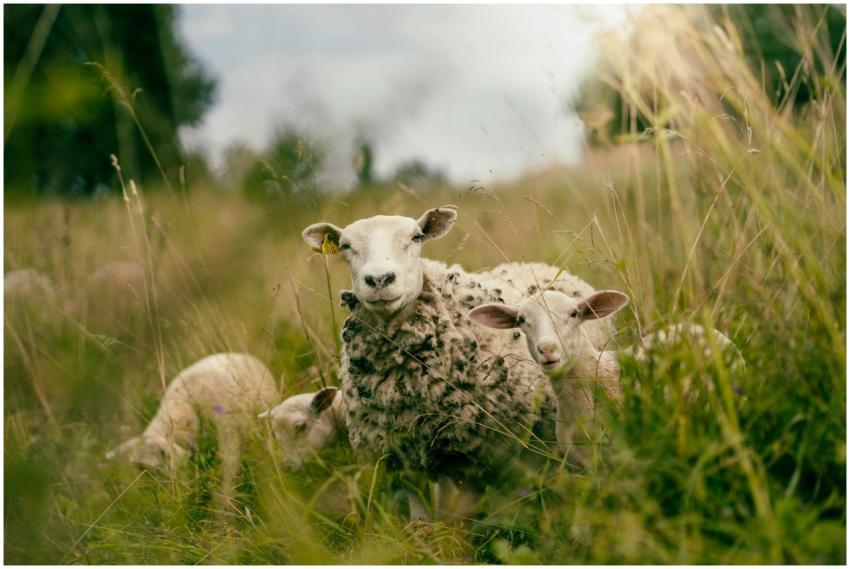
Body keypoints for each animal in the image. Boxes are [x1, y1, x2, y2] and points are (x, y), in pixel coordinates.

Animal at [300, 205, 606, 501]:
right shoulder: (399, 459)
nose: (379, 279)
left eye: (416, 237)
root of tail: (536, 264)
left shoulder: (466, 457)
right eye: (345, 245)